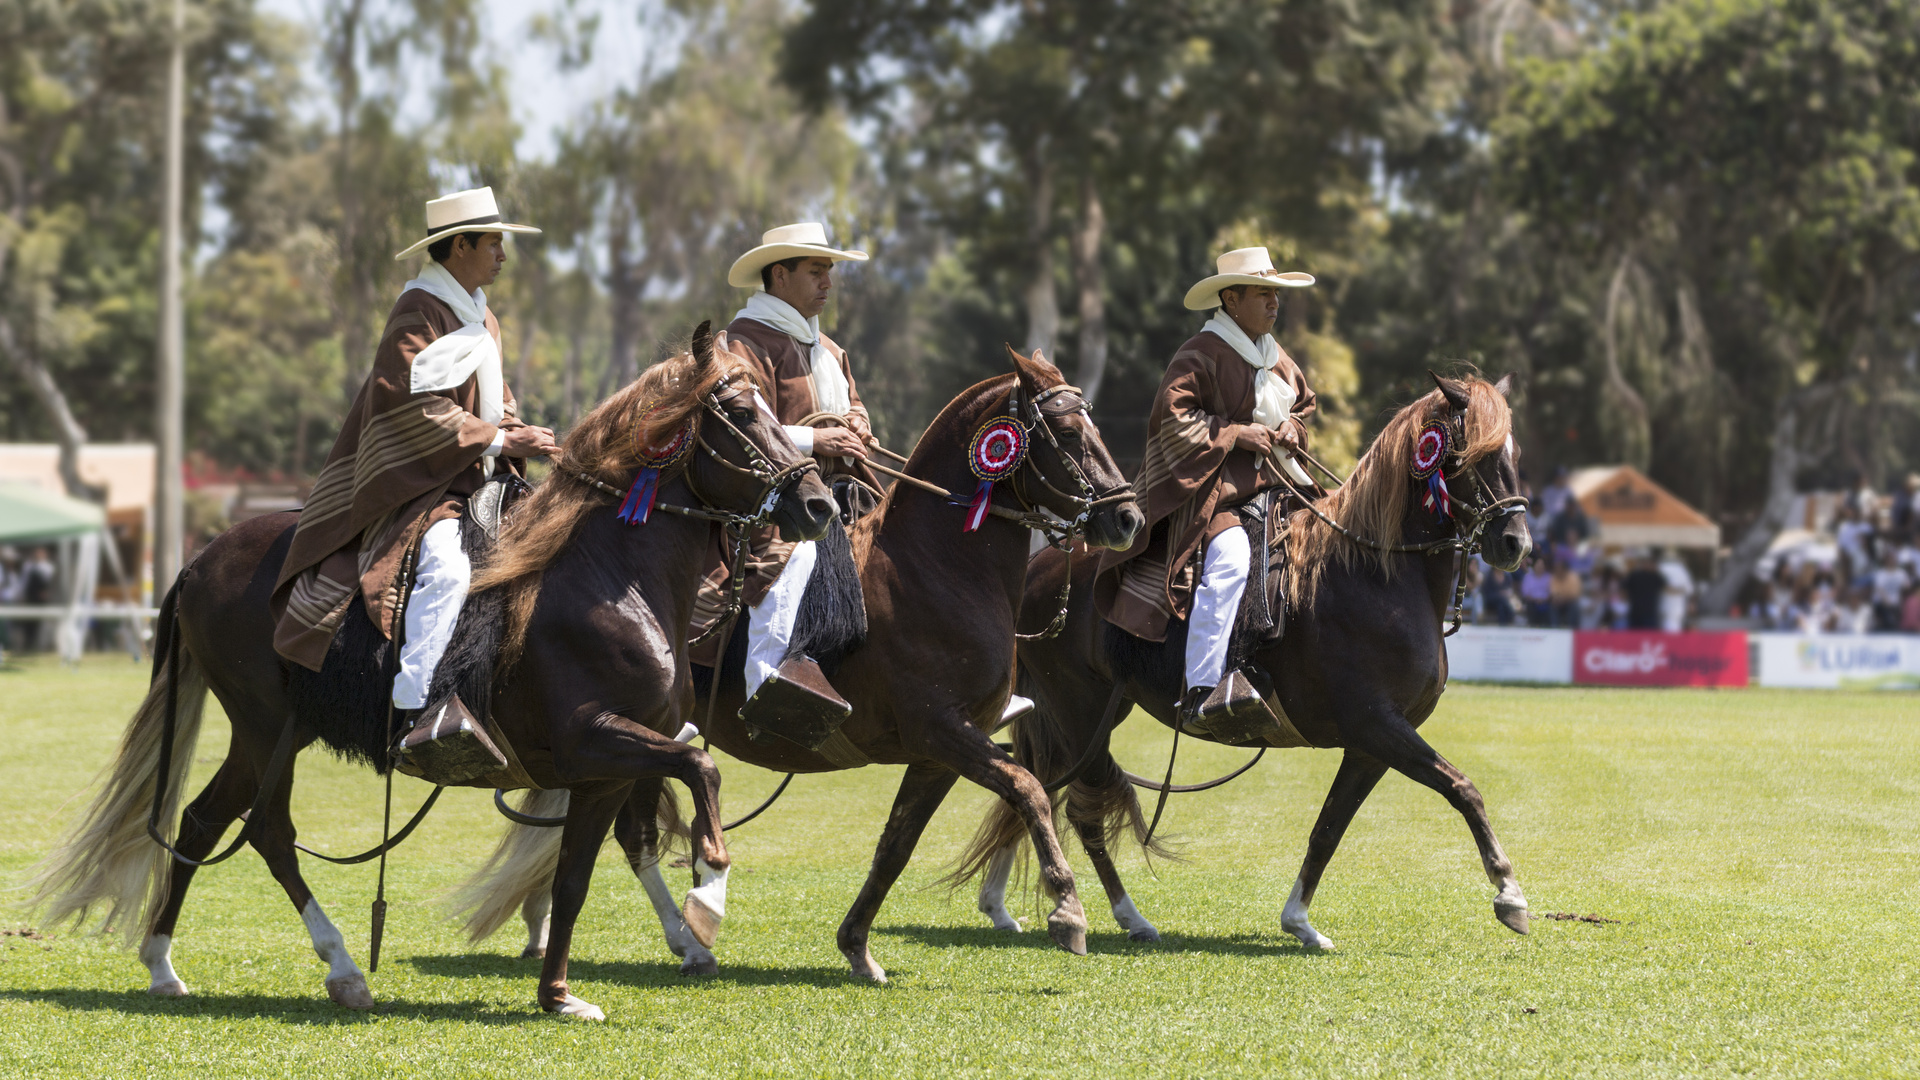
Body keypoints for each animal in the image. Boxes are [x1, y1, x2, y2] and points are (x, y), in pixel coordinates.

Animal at [24, 320, 833, 1014]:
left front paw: (559, 995)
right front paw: (707, 897)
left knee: (202, 821)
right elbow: (703, 770)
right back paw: (344, 969)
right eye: (739, 410)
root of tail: (199, 559)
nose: (820, 502)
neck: (613, 577)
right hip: (265, 723)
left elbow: (577, 877)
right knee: (268, 831)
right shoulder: (596, 736)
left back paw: (164, 965)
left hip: (273, 731)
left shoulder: (605, 768)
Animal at [453, 343, 1136, 976]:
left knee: (624, 829)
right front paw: (1067, 909)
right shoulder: (943, 731)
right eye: (1068, 432)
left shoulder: (938, 753)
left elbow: (897, 845)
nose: (1127, 516)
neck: (936, 571)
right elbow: (1029, 790)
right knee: (634, 833)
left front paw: (858, 947)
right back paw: (677, 935)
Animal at [967, 374, 1536, 945]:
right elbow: (1463, 789)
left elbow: (1329, 828)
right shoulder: (1377, 726)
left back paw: (1001, 904)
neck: (1375, 574)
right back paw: (1124, 916)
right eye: (1473, 453)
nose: (1516, 543)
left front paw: (1300, 921)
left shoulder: (1371, 745)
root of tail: (1042, 565)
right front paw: (1509, 892)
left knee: (1034, 785)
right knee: (1078, 810)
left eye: (1514, 452)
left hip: (1084, 715)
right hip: (1079, 715)